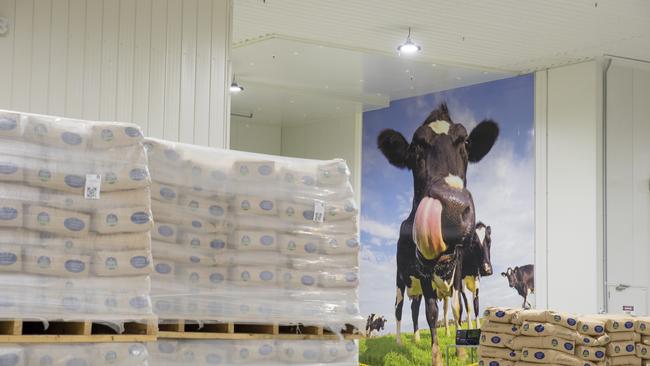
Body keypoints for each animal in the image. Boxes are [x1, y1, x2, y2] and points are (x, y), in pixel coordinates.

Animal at [374, 103, 496, 366]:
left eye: (466, 143)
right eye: (415, 148)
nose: (452, 208)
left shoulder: (458, 275)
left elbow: (458, 308)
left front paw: (461, 351)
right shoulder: (424, 273)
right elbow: (432, 313)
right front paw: (437, 357)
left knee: (415, 309)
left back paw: (416, 338)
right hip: (400, 279)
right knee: (399, 308)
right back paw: (399, 342)